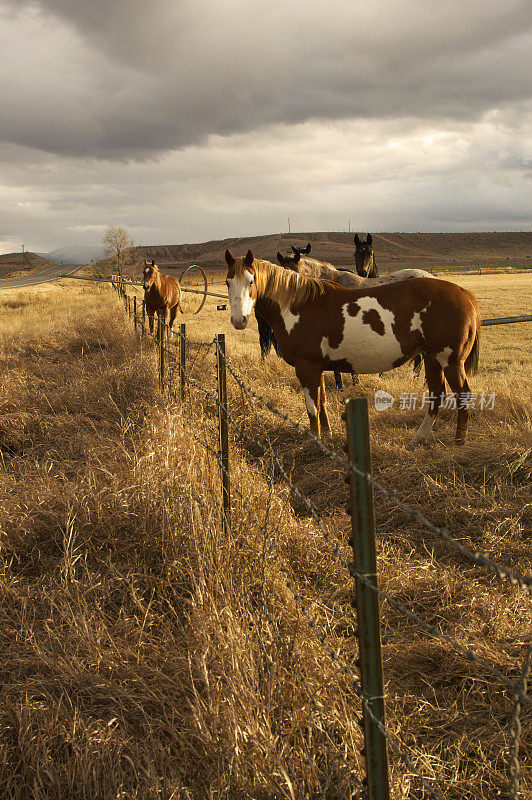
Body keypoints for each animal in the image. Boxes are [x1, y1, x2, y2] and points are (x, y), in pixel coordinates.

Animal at [224, 250, 482, 446]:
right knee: (437, 396)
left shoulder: (305, 367)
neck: (298, 306)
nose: (239, 320)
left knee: (462, 395)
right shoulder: (317, 367)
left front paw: (315, 441)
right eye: (228, 282)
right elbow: (322, 403)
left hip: (450, 360)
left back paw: (459, 442)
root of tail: (464, 293)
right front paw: (327, 436)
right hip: (432, 358)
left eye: (251, 281)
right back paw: (418, 439)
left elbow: (312, 408)